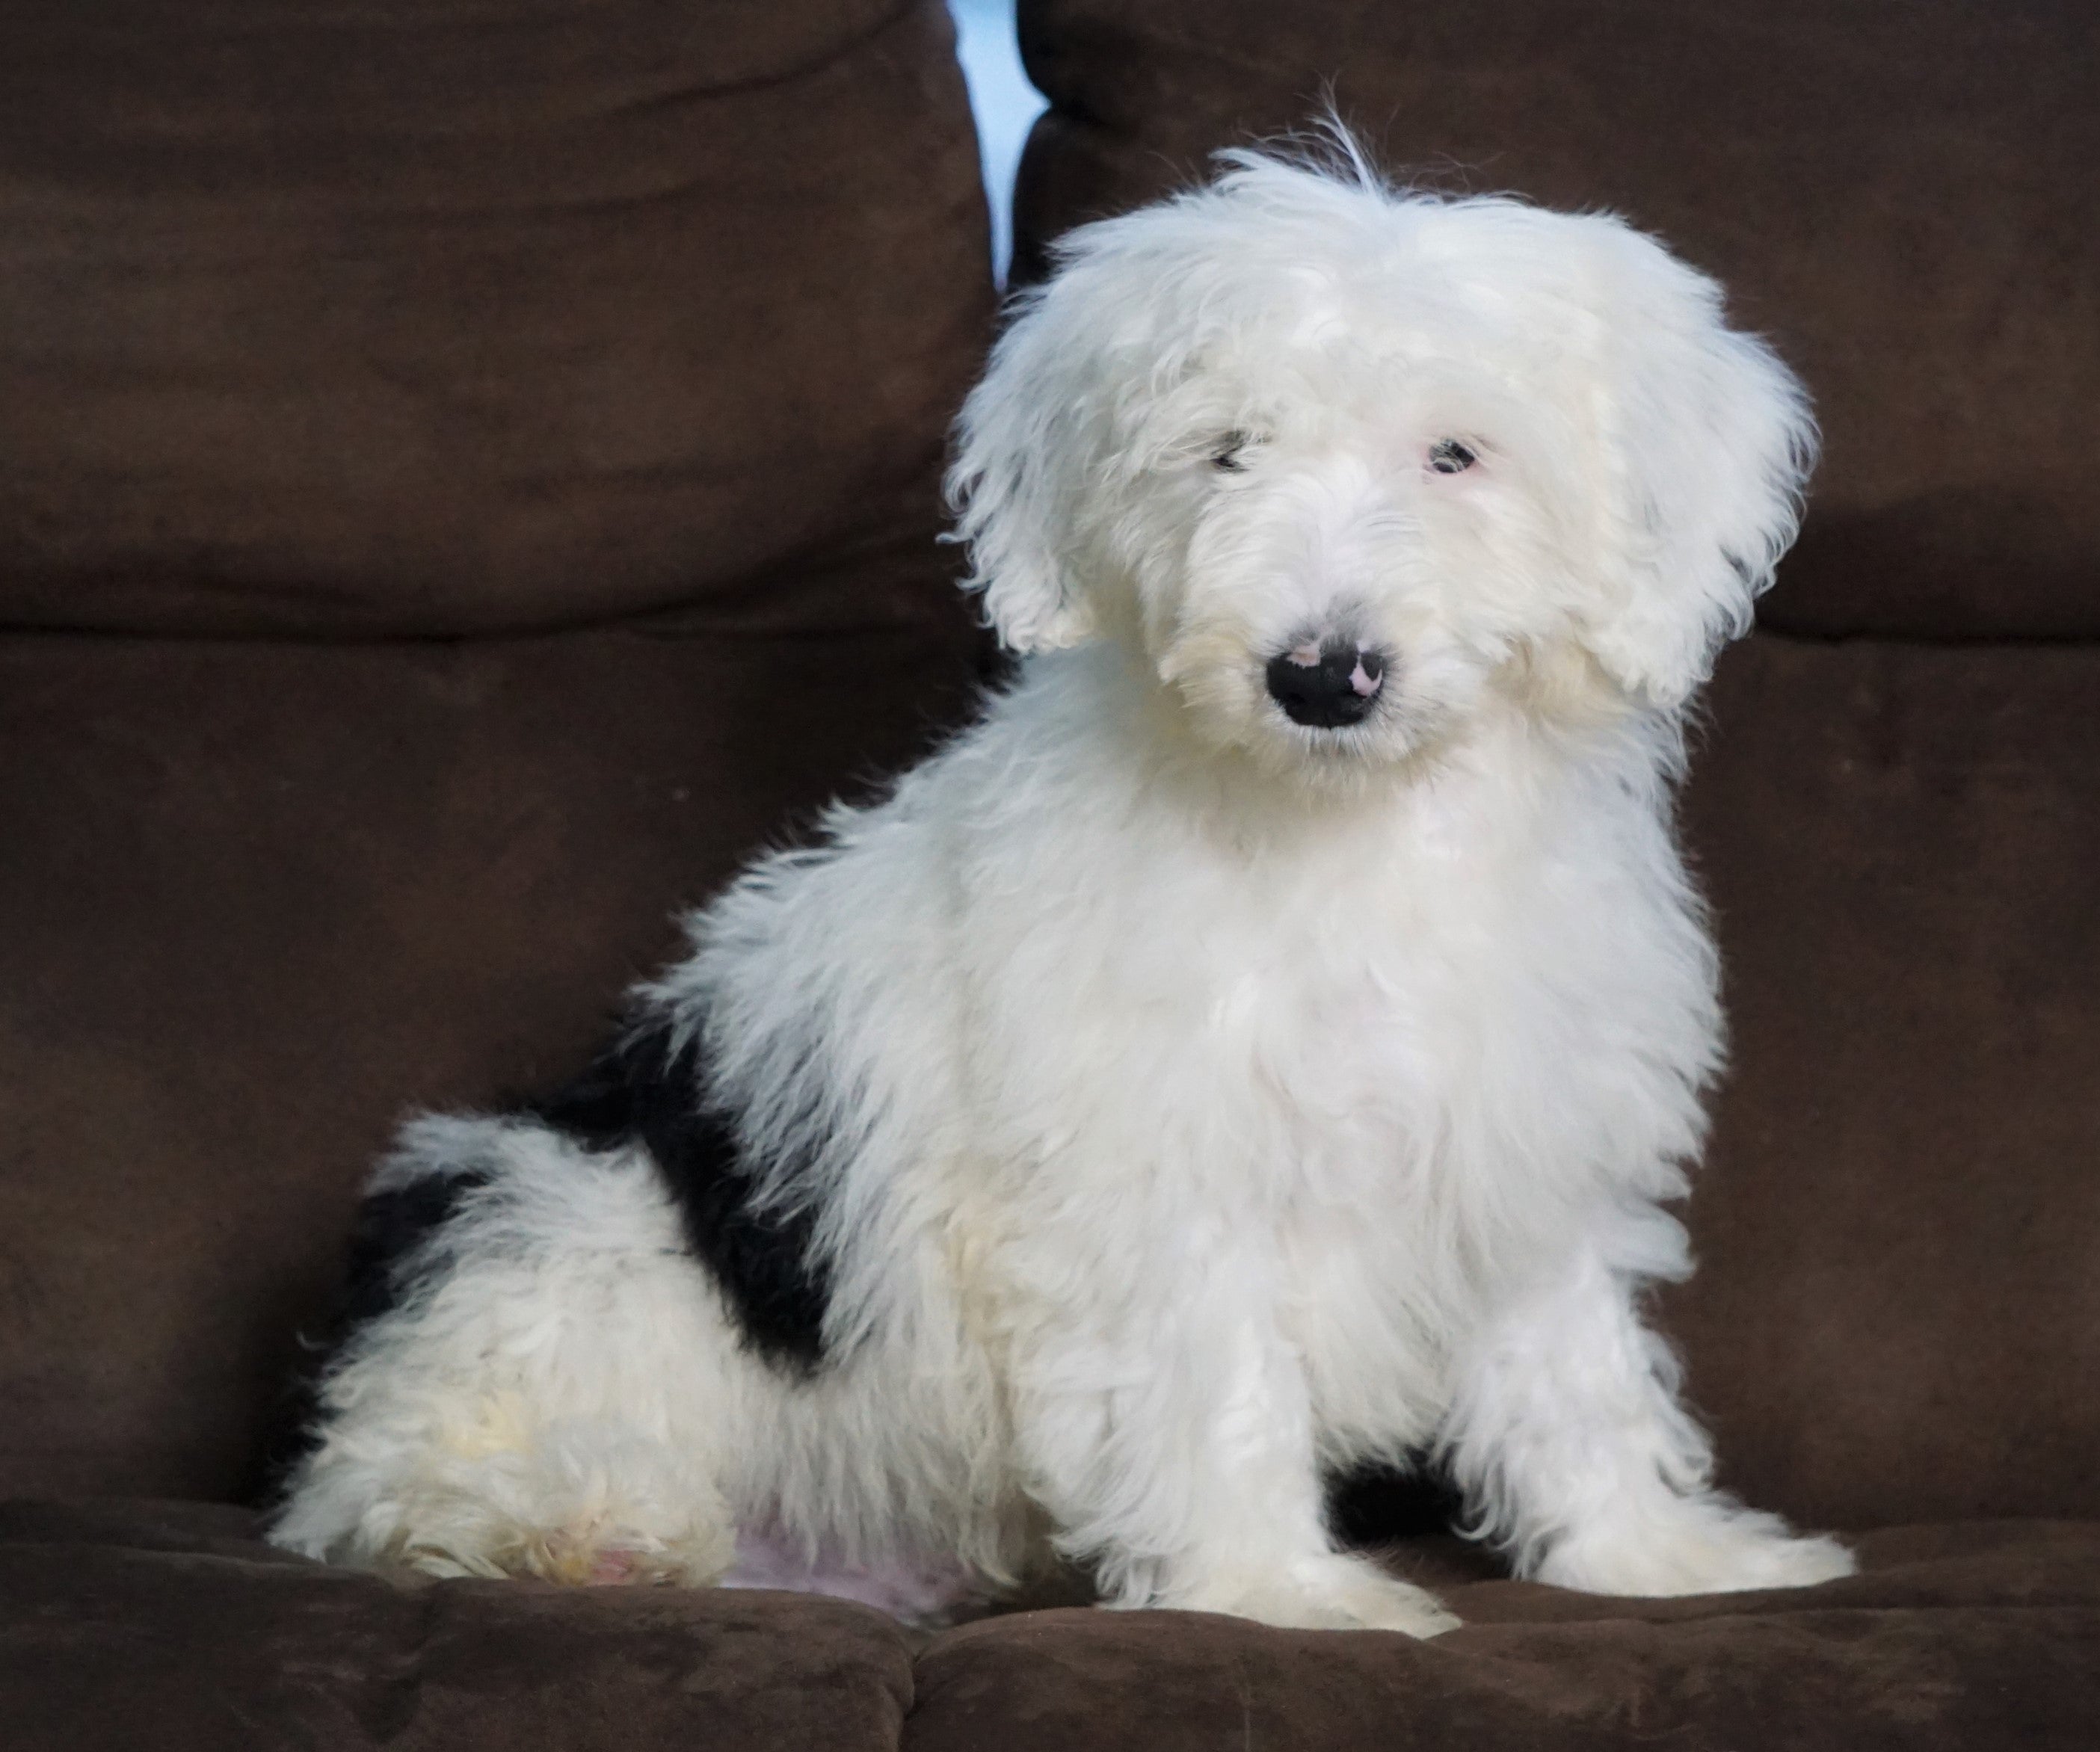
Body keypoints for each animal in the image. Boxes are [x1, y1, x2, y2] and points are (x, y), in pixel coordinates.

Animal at [266, 143, 1856, 1629]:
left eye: (1453, 455)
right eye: (1223, 451)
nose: (1319, 673)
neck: (1343, 832)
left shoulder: (1520, 1142)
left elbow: (1572, 1373)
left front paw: (1658, 1556)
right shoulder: (1156, 1173)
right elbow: (1217, 1386)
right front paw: (1274, 1591)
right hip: (569, 1234)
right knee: (392, 1476)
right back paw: (577, 1527)